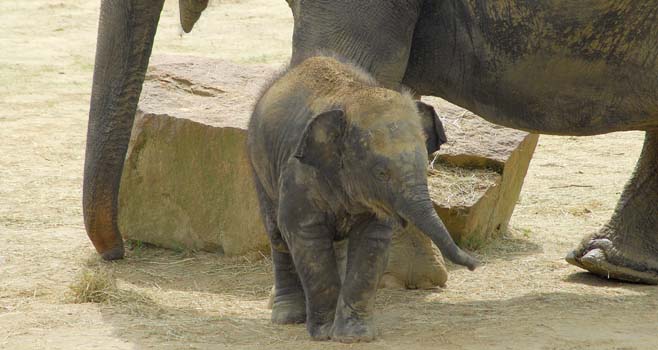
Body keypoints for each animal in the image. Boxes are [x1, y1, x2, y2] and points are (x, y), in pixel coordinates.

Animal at [247, 55, 476, 342]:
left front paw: (355, 336)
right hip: (259, 163)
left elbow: (371, 242)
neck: (354, 96)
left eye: (426, 167)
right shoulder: (299, 174)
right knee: (277, 235)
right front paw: (324, 334)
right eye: (381, 173)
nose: (475, 264)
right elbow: (305, 236)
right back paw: (288, 317)